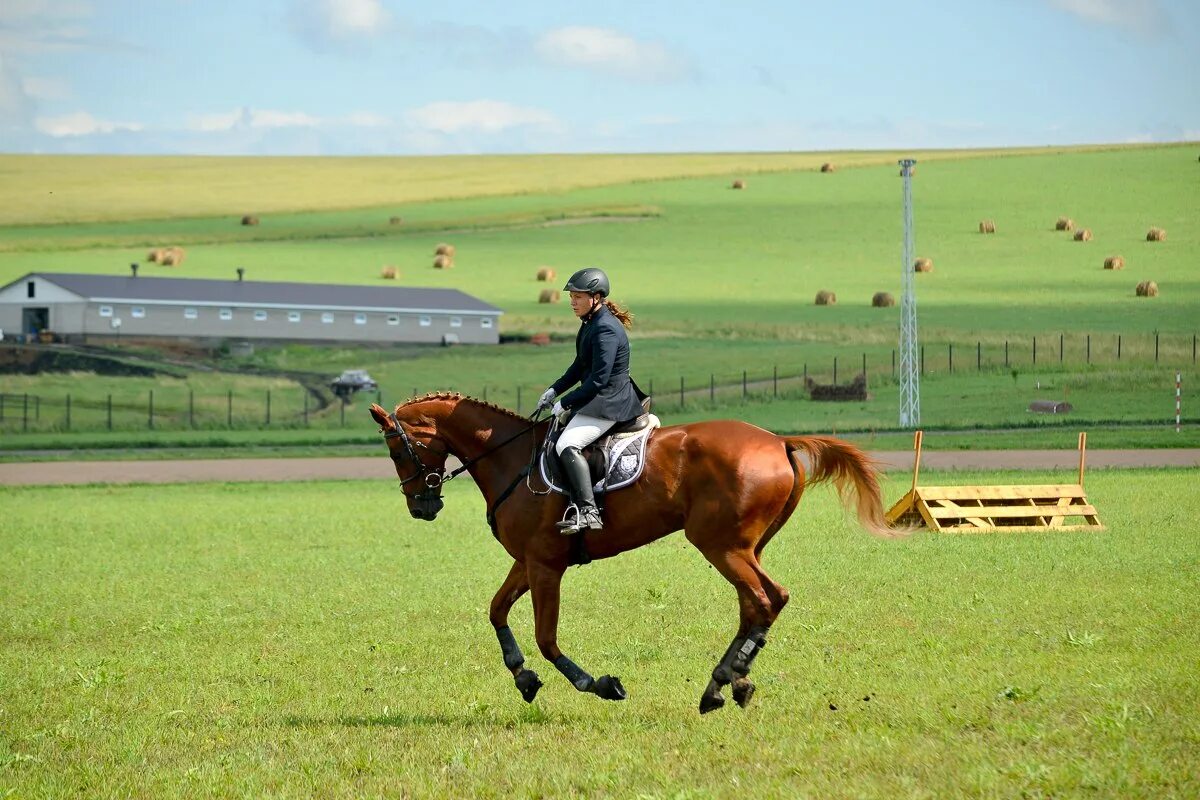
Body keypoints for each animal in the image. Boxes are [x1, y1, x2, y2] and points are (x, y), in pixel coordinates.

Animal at [367, 393, 902, 714]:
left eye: (397, 451)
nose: (421, 507)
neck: (511, 460)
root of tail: (777, 441)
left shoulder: (545, 567)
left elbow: (547, 638)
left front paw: (599, 684)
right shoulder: (528, 562)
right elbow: (497, 610)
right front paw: (523, 678)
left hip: (721, 545)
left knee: (767, 599)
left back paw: (728, 680)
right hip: (744, 547)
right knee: (756, 605)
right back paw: (728, 683)